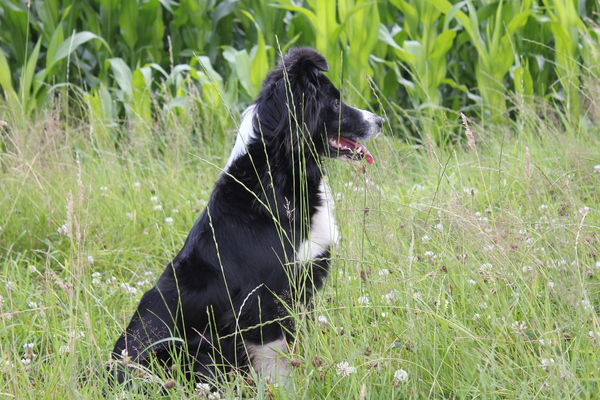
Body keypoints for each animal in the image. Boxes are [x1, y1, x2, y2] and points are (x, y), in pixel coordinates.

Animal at [110, 47, 382, 384]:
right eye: (334, 103)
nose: (380, 120)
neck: (279, 175)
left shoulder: (302, 284)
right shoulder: (261, 300)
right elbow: (277, 363)